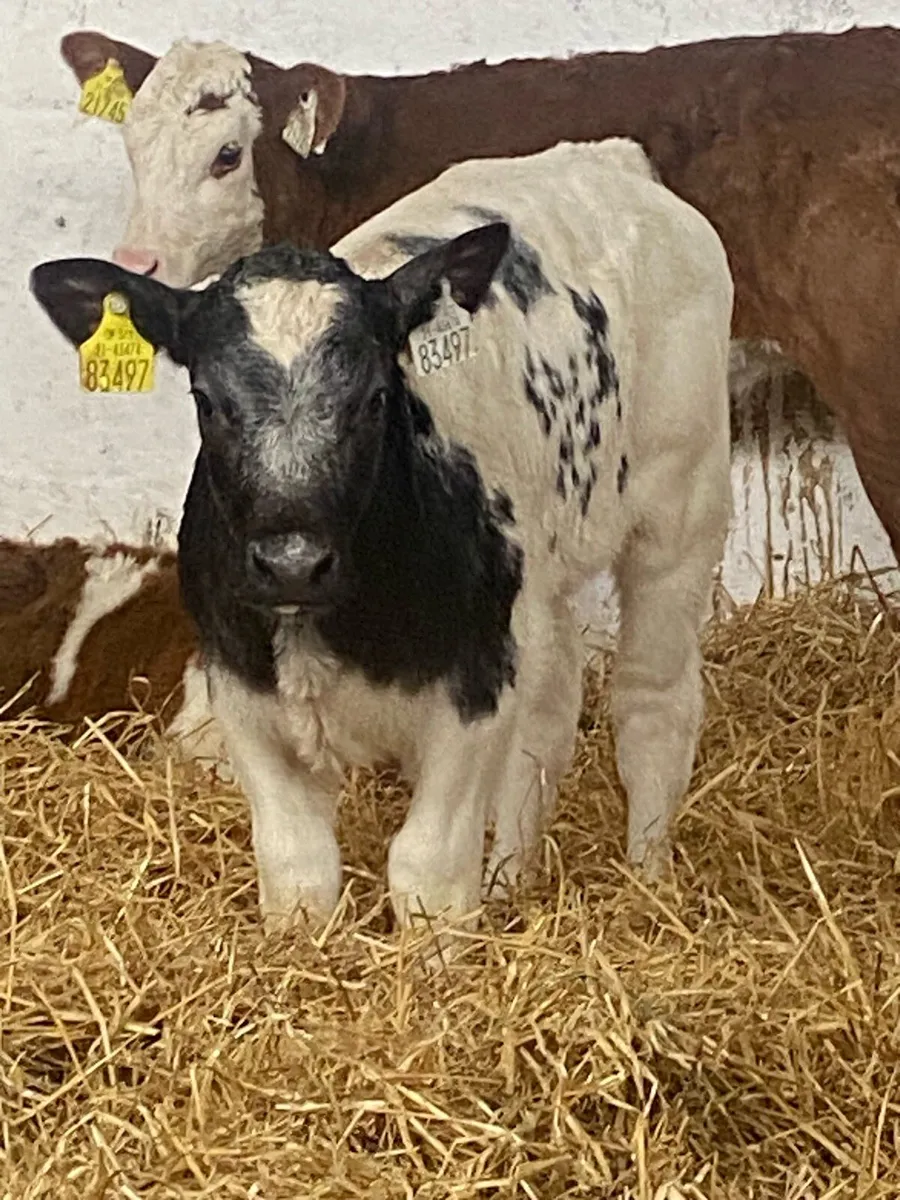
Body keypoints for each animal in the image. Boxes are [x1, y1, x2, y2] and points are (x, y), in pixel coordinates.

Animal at [30, 139, 733, 936]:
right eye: (207, 399)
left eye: (374, 397)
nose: (292, 563)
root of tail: (601, 160)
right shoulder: (240, 686)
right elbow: (297, 869)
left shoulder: (474, 685)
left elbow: (427, 870)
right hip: (538, 577)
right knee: (549, 716)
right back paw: (511, 879)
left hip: (682, 509)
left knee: (654, 706)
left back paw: (650, 883)